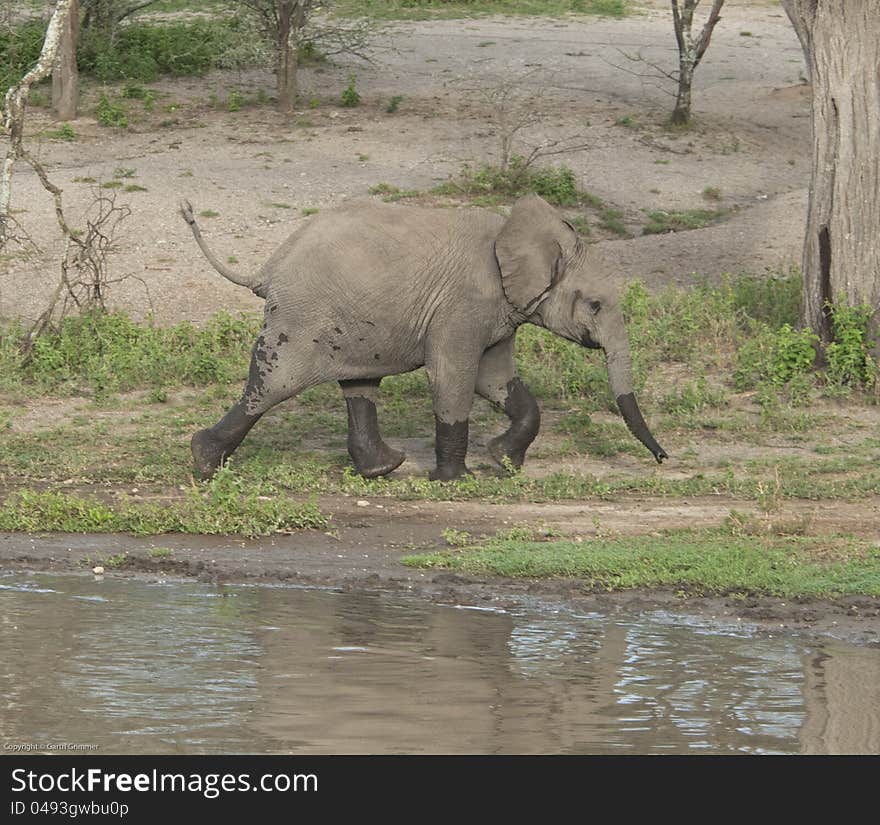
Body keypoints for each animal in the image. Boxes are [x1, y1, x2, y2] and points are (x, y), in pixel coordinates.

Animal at [184, 194, 668, 482]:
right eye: (596, 305)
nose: (663, 459)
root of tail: (268, 267)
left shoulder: (497, 313)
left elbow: (495, 380)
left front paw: (503, 462)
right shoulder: (464, 304)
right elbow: (453, 377)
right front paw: (457, 481)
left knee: (359, 385)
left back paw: (383, 469)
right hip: (302, 318)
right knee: (274, 384)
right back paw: (205, 463)